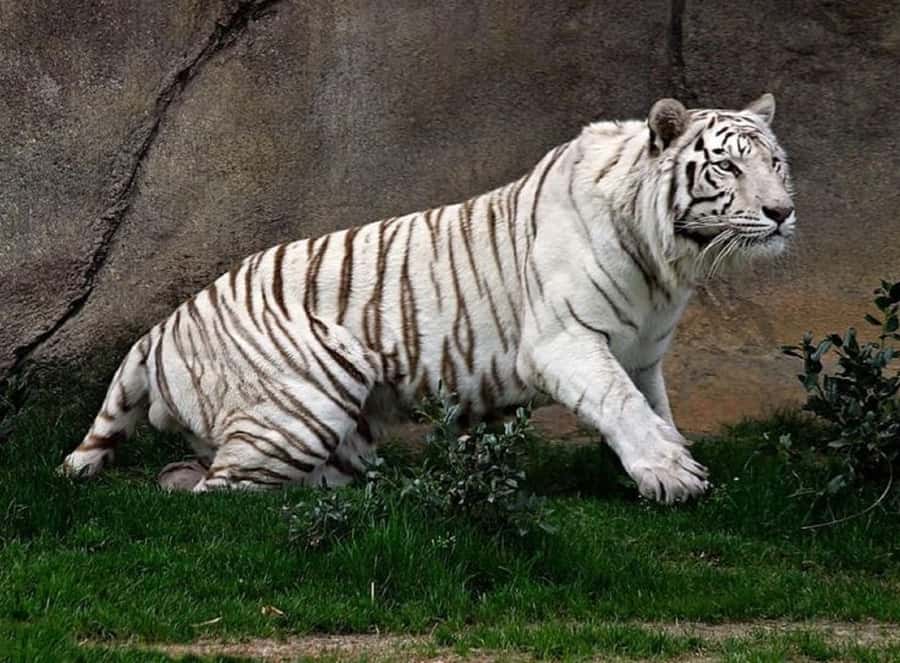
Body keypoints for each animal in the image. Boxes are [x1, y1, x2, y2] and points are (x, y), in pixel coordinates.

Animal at [61, 93, 795, 503]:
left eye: (776, 162)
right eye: (728, 166)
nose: (783, 211)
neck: (664, 259)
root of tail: (159, 329)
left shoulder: (642, 354)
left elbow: (652, 409)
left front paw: (664, 464)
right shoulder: (564, 342)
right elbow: (623, 406)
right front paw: (675, 478)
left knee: (191, 474)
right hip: (310, 394)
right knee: (217, 495)